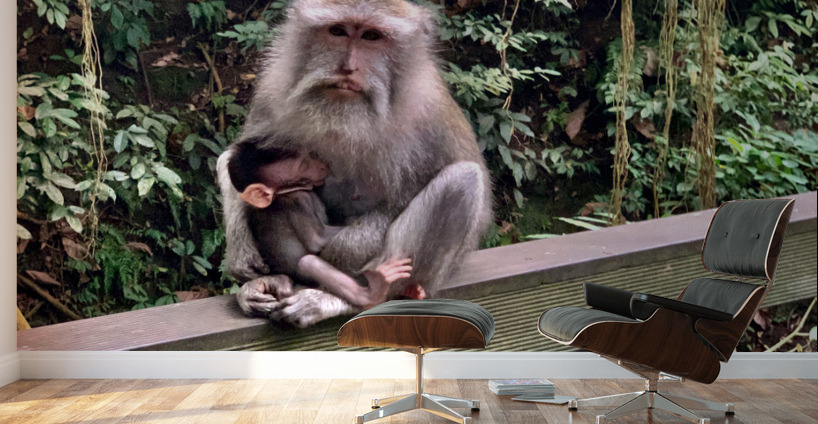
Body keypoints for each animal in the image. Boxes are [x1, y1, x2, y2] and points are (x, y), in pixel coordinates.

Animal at [226, 139, 413, 309]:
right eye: (302, 165)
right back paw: (374, 291)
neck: (280, 194)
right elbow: (317, 239)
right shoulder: (299, 199)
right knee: (308, 262)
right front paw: (394, 207)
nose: (323, 166)